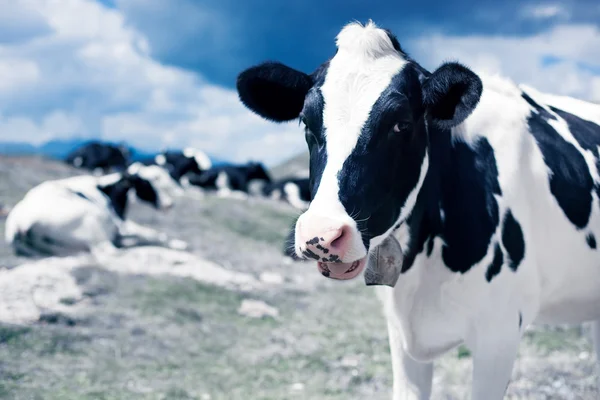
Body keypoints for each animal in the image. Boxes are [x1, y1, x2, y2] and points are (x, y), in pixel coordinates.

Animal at [4, 163, 188, 260]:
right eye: (146, 184)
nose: (169, 204)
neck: (107, 189)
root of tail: (21, 222)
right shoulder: (121, 224)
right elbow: (153, 233)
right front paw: (179, 244)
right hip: (92, 221)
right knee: (109, 251)